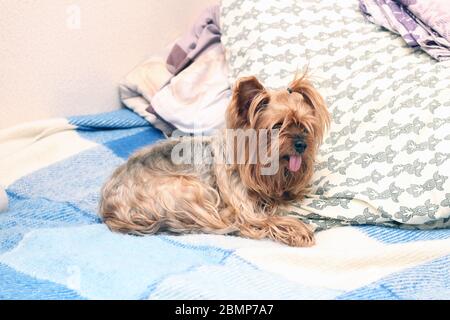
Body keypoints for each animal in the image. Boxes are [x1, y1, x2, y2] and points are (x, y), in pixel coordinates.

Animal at [99, 75, 330, 248]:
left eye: (305, 127)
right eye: (277, 126)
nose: (301, 144)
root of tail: (109, 211)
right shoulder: (243, 206)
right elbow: (264, 219)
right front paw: (298, 230)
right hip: (188, 187)